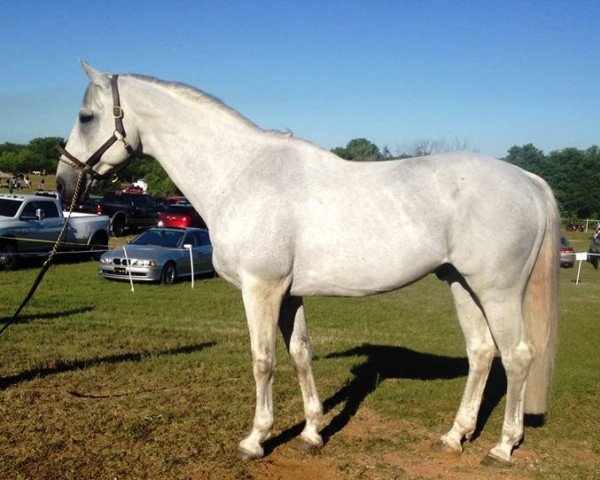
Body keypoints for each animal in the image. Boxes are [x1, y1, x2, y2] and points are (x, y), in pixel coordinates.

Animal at [55, 62, 556, 464]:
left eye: (85, 116)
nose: (62, 184)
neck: (241, 174)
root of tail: (526, 179)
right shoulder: (289, 293)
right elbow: (300, 354)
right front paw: (313, 432)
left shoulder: (261, 288)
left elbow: (263, 359)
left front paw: (255, 440)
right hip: (461, 284)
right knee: (481, 353)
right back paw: (455, 436)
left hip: (498, 291)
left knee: (517, 356)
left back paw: (503, 447)